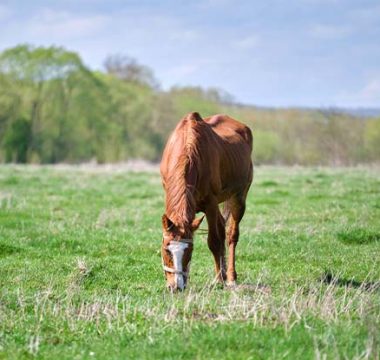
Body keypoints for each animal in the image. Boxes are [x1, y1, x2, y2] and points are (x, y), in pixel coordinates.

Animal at [160, 111, 252, 292]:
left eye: (190, 250)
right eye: (166, 249)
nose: (176, 286)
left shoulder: (210, 204)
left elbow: (214, 241)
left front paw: (219, 280)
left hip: (239, 197)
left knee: (231, 235)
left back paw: (230, 277)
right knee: (222, 227)